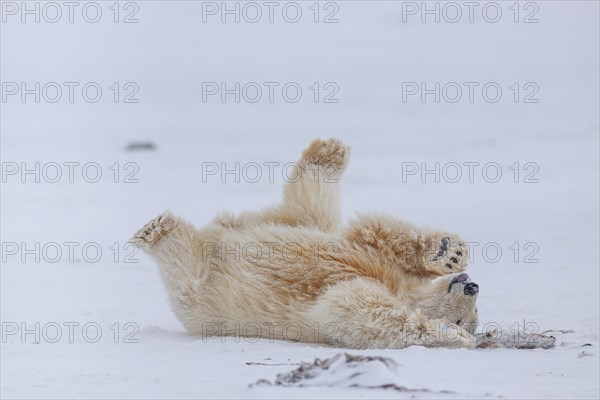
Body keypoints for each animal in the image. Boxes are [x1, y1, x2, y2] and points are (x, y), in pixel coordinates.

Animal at [131, 138, 552, 350]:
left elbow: (354, 307)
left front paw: (450, 337)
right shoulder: (378, 260)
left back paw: (159, 230)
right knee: (310, 213)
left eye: (468, 318)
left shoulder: (349, 310)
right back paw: (329, 151)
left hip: (201, 292)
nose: (472, 284)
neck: (404, 290)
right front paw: (448, 252)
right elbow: (375, 234)